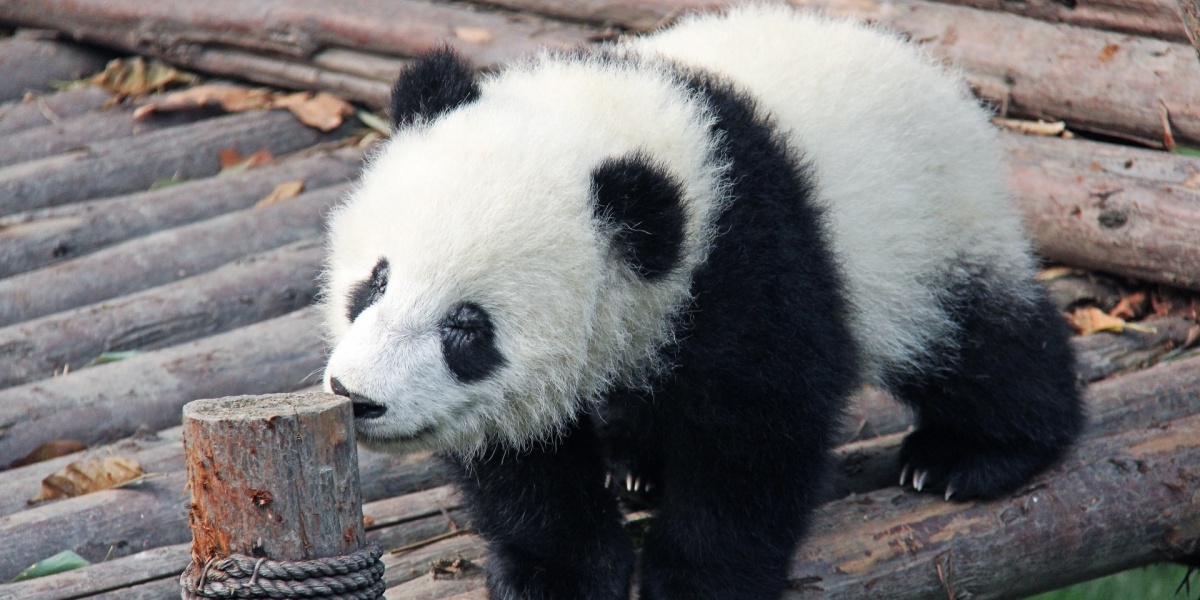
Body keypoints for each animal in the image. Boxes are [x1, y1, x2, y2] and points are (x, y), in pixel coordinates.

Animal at [324, 5, 1084, 600]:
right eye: (378, 280)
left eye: (467, 327)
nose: (357, 396)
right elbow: (524, 457)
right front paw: (558, 573)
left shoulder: (749, 255)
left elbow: (753, 430)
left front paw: (701, 578)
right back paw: (639, 467)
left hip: (929, 222)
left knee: (977, 338)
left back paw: (969, 455)